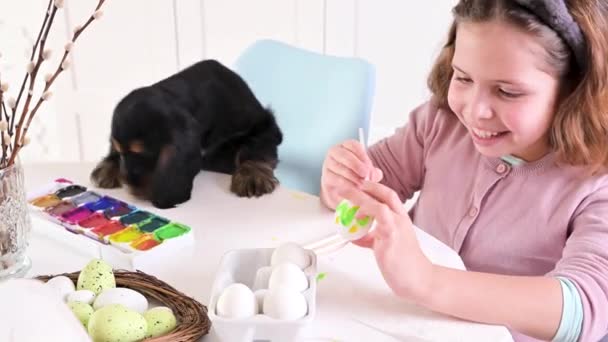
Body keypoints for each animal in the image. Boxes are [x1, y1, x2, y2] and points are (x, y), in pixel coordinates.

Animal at [91, 59, 282, 208]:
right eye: (120, 152)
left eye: (141, 154)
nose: (129, 184)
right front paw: (107, 168)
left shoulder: (265, 125)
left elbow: (254, 147)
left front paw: (251, 176)